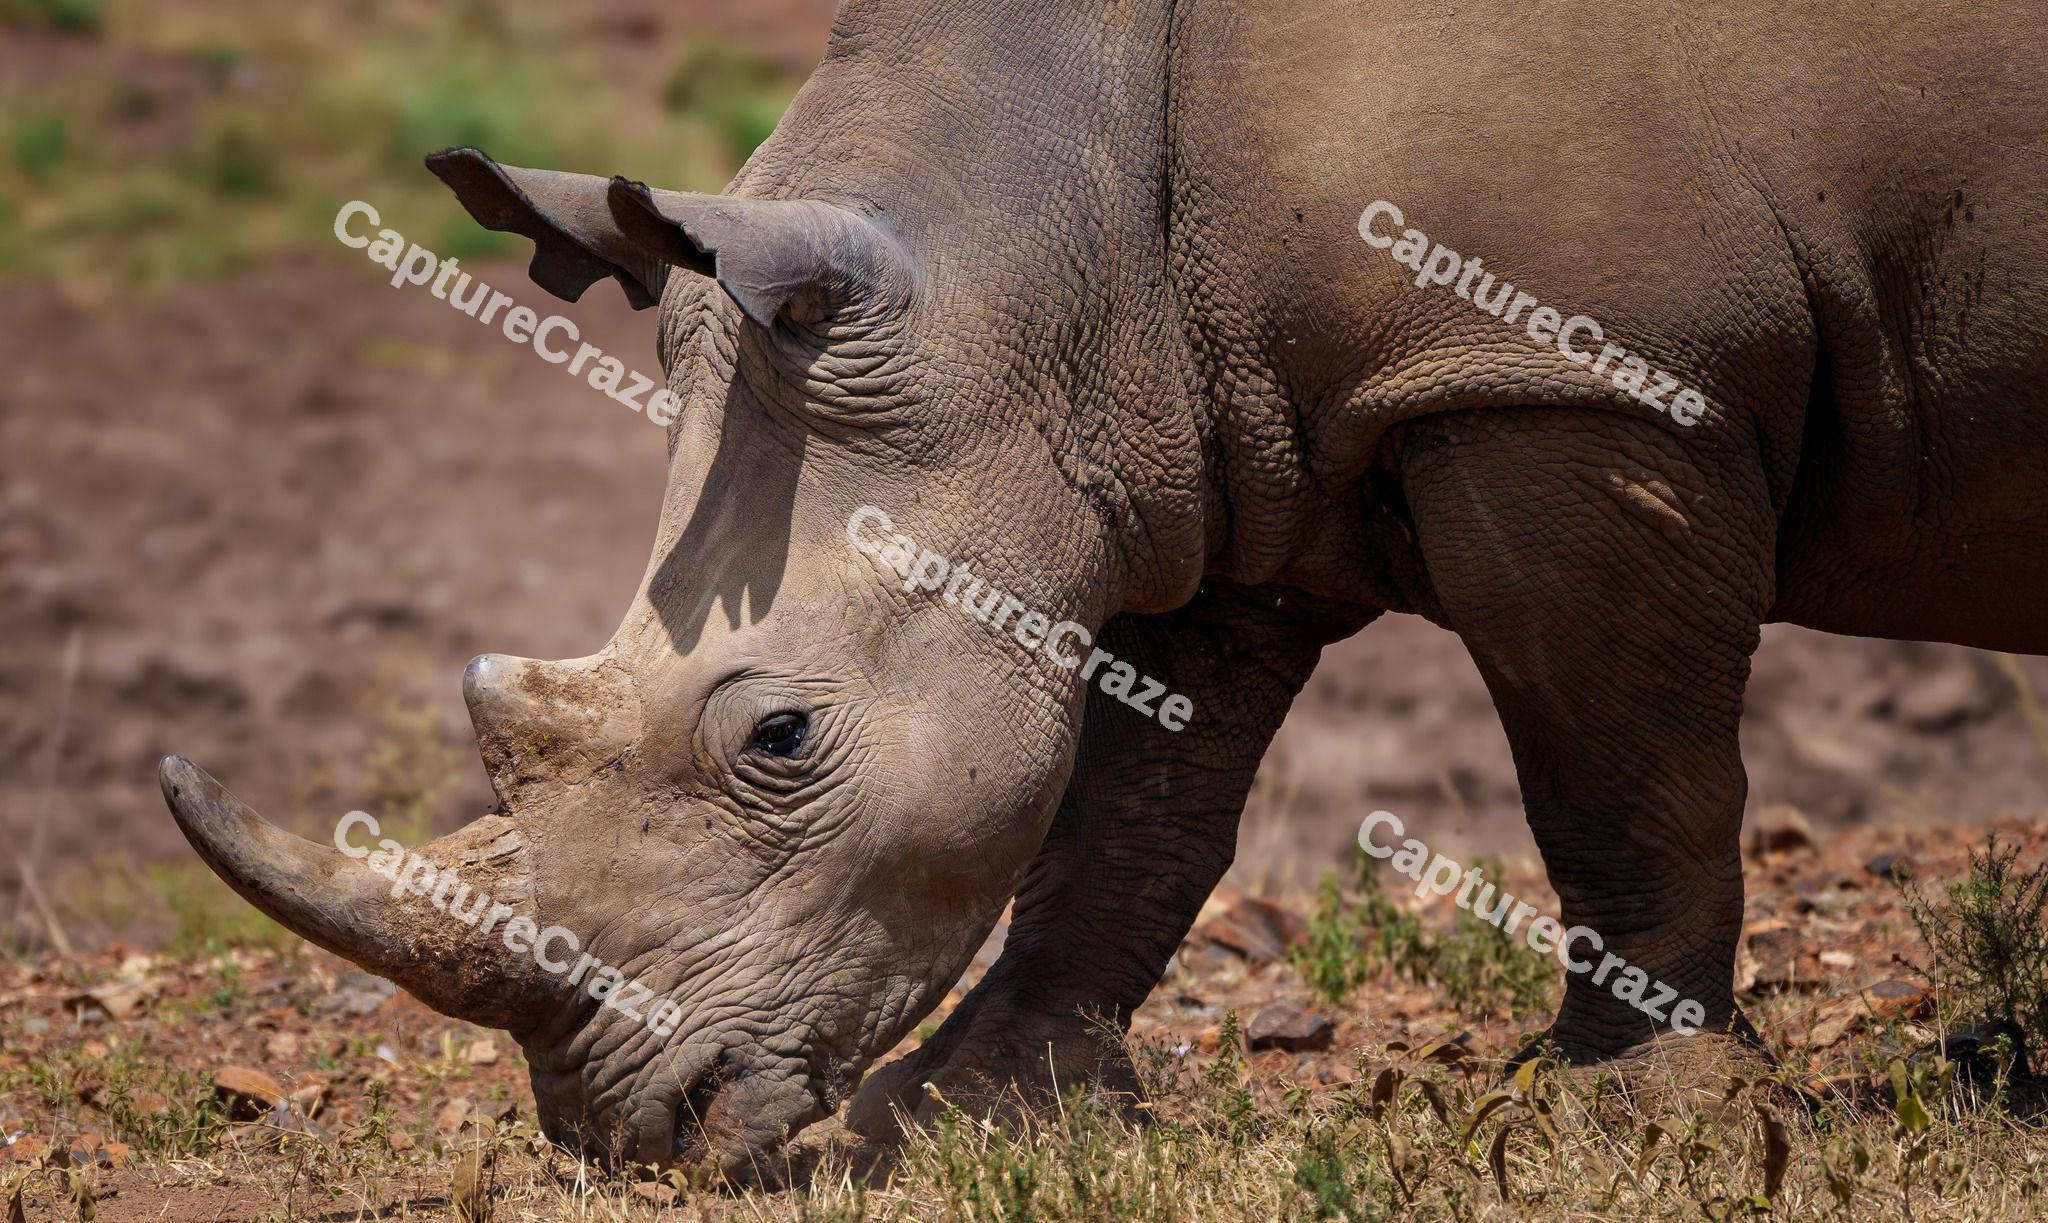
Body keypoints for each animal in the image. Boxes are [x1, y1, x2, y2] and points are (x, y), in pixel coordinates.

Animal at [161, 0, 2048, 1178]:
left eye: (778, 738)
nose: (632, 1131)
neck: (1034, 232)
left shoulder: (1577, 372)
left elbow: (1616, 763)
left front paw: (1628, 1118)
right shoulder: (1194, 431)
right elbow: (1133, 806)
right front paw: (963, 1117)